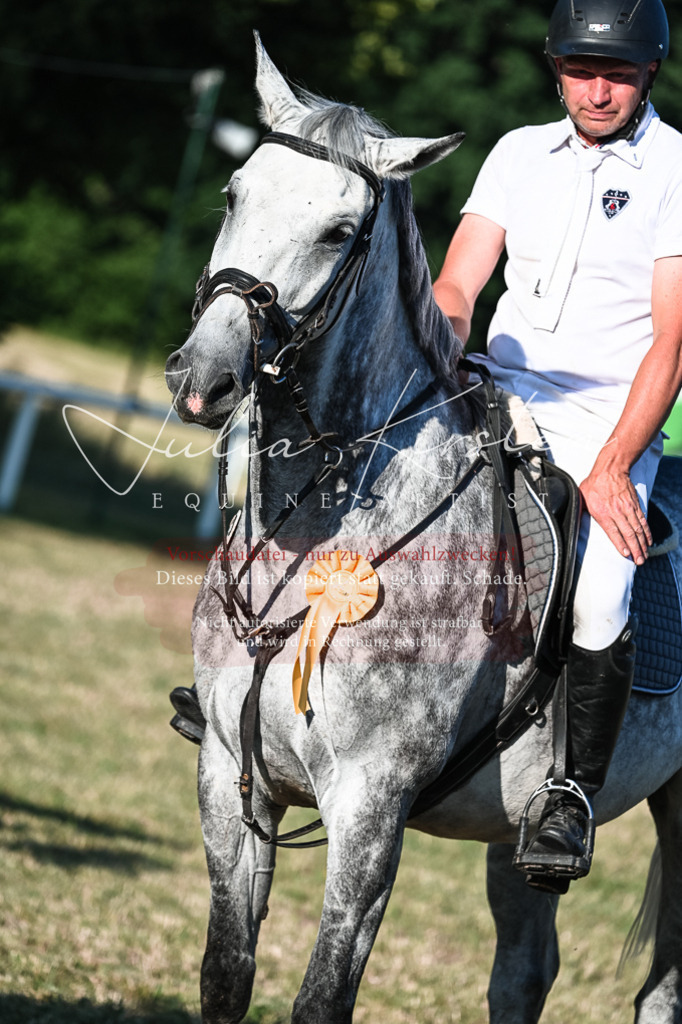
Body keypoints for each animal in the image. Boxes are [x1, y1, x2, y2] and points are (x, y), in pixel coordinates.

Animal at [165, 36, 682, 1024]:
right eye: (234, 191)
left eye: (338, 233)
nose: (200, 379)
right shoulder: (228, 781)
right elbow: (224, 974)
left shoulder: (370, 810)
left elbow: (323, 995)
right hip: (519, 838)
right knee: (526, 967)